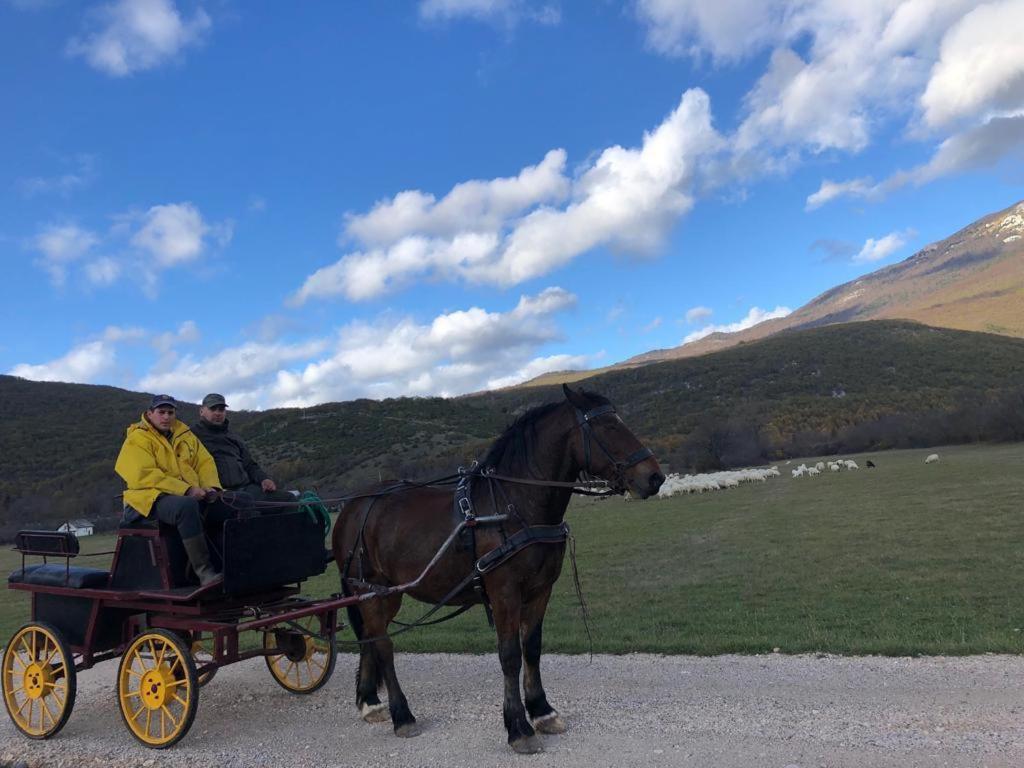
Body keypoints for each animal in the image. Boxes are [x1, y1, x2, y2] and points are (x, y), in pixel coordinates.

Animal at [331, 382, 667, 753]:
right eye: (607, 426)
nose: (655, 477)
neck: (514, 504)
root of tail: (353, 506)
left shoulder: (540, 590)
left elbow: (531, 648)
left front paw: (542, 711)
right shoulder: (504, 592)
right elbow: (509, 655)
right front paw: (518, 726)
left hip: (387, 594)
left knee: (371, 639)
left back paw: (369, 702)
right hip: (370, 590)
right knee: (384, 646)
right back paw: (402, 715)